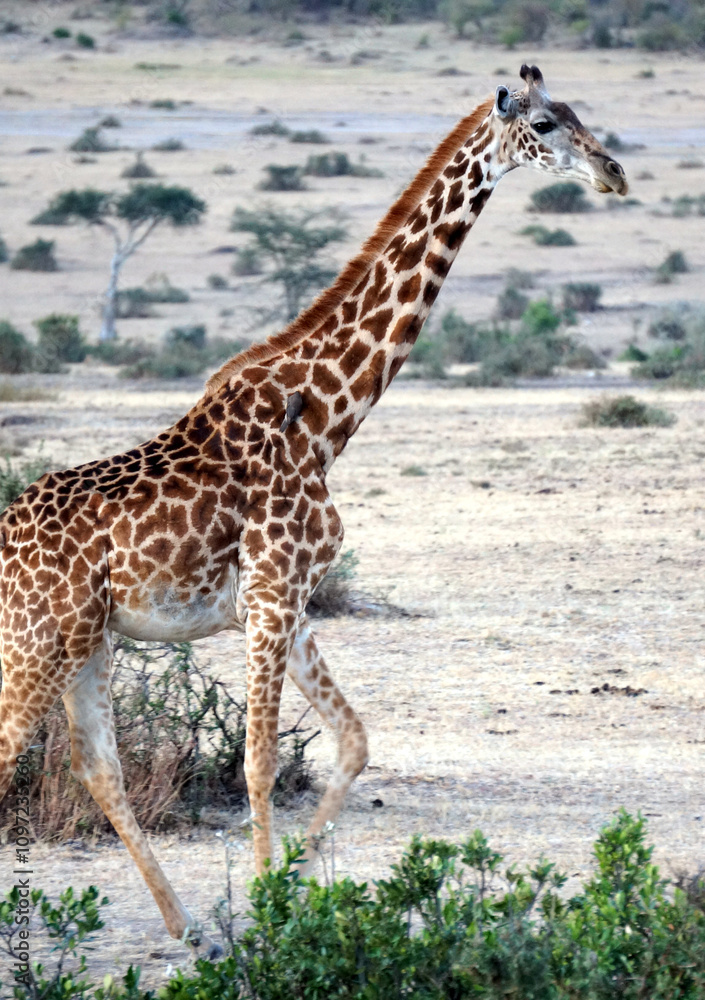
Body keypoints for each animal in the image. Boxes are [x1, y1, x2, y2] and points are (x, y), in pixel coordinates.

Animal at [0, 65, 627, 951]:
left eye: (578, 115)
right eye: (544, 124)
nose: (613, 173)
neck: (328, 419)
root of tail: (0, 537)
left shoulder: (290, 606)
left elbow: (355, 743)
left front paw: (293, 891)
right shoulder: (269, 597)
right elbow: (260, 761)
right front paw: (270, 913)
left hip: (86, 640)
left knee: (97, 765)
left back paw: (185, 925)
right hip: (37, 637)